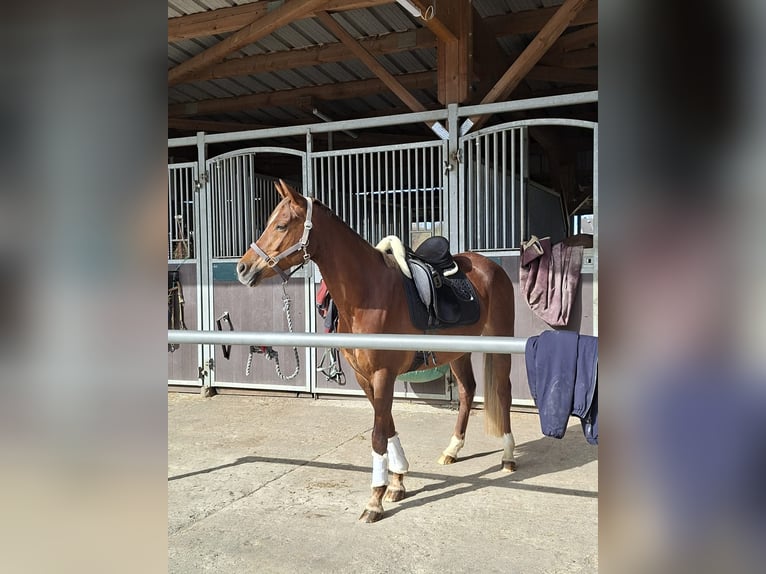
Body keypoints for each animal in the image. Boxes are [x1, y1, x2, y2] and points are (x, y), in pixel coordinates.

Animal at [237, 180, 517, 523]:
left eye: (281, 225)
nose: (243, 268)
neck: (368, 293)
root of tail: (490, 265)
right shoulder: (365, 377)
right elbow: (388, 424)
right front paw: (397, 482)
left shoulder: (384, 375)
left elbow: (377, 434)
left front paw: (375, 499)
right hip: (458, 354)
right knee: (467, 391)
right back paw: (452, 450)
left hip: (501, 343)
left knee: (502, 392)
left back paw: (508, 457)